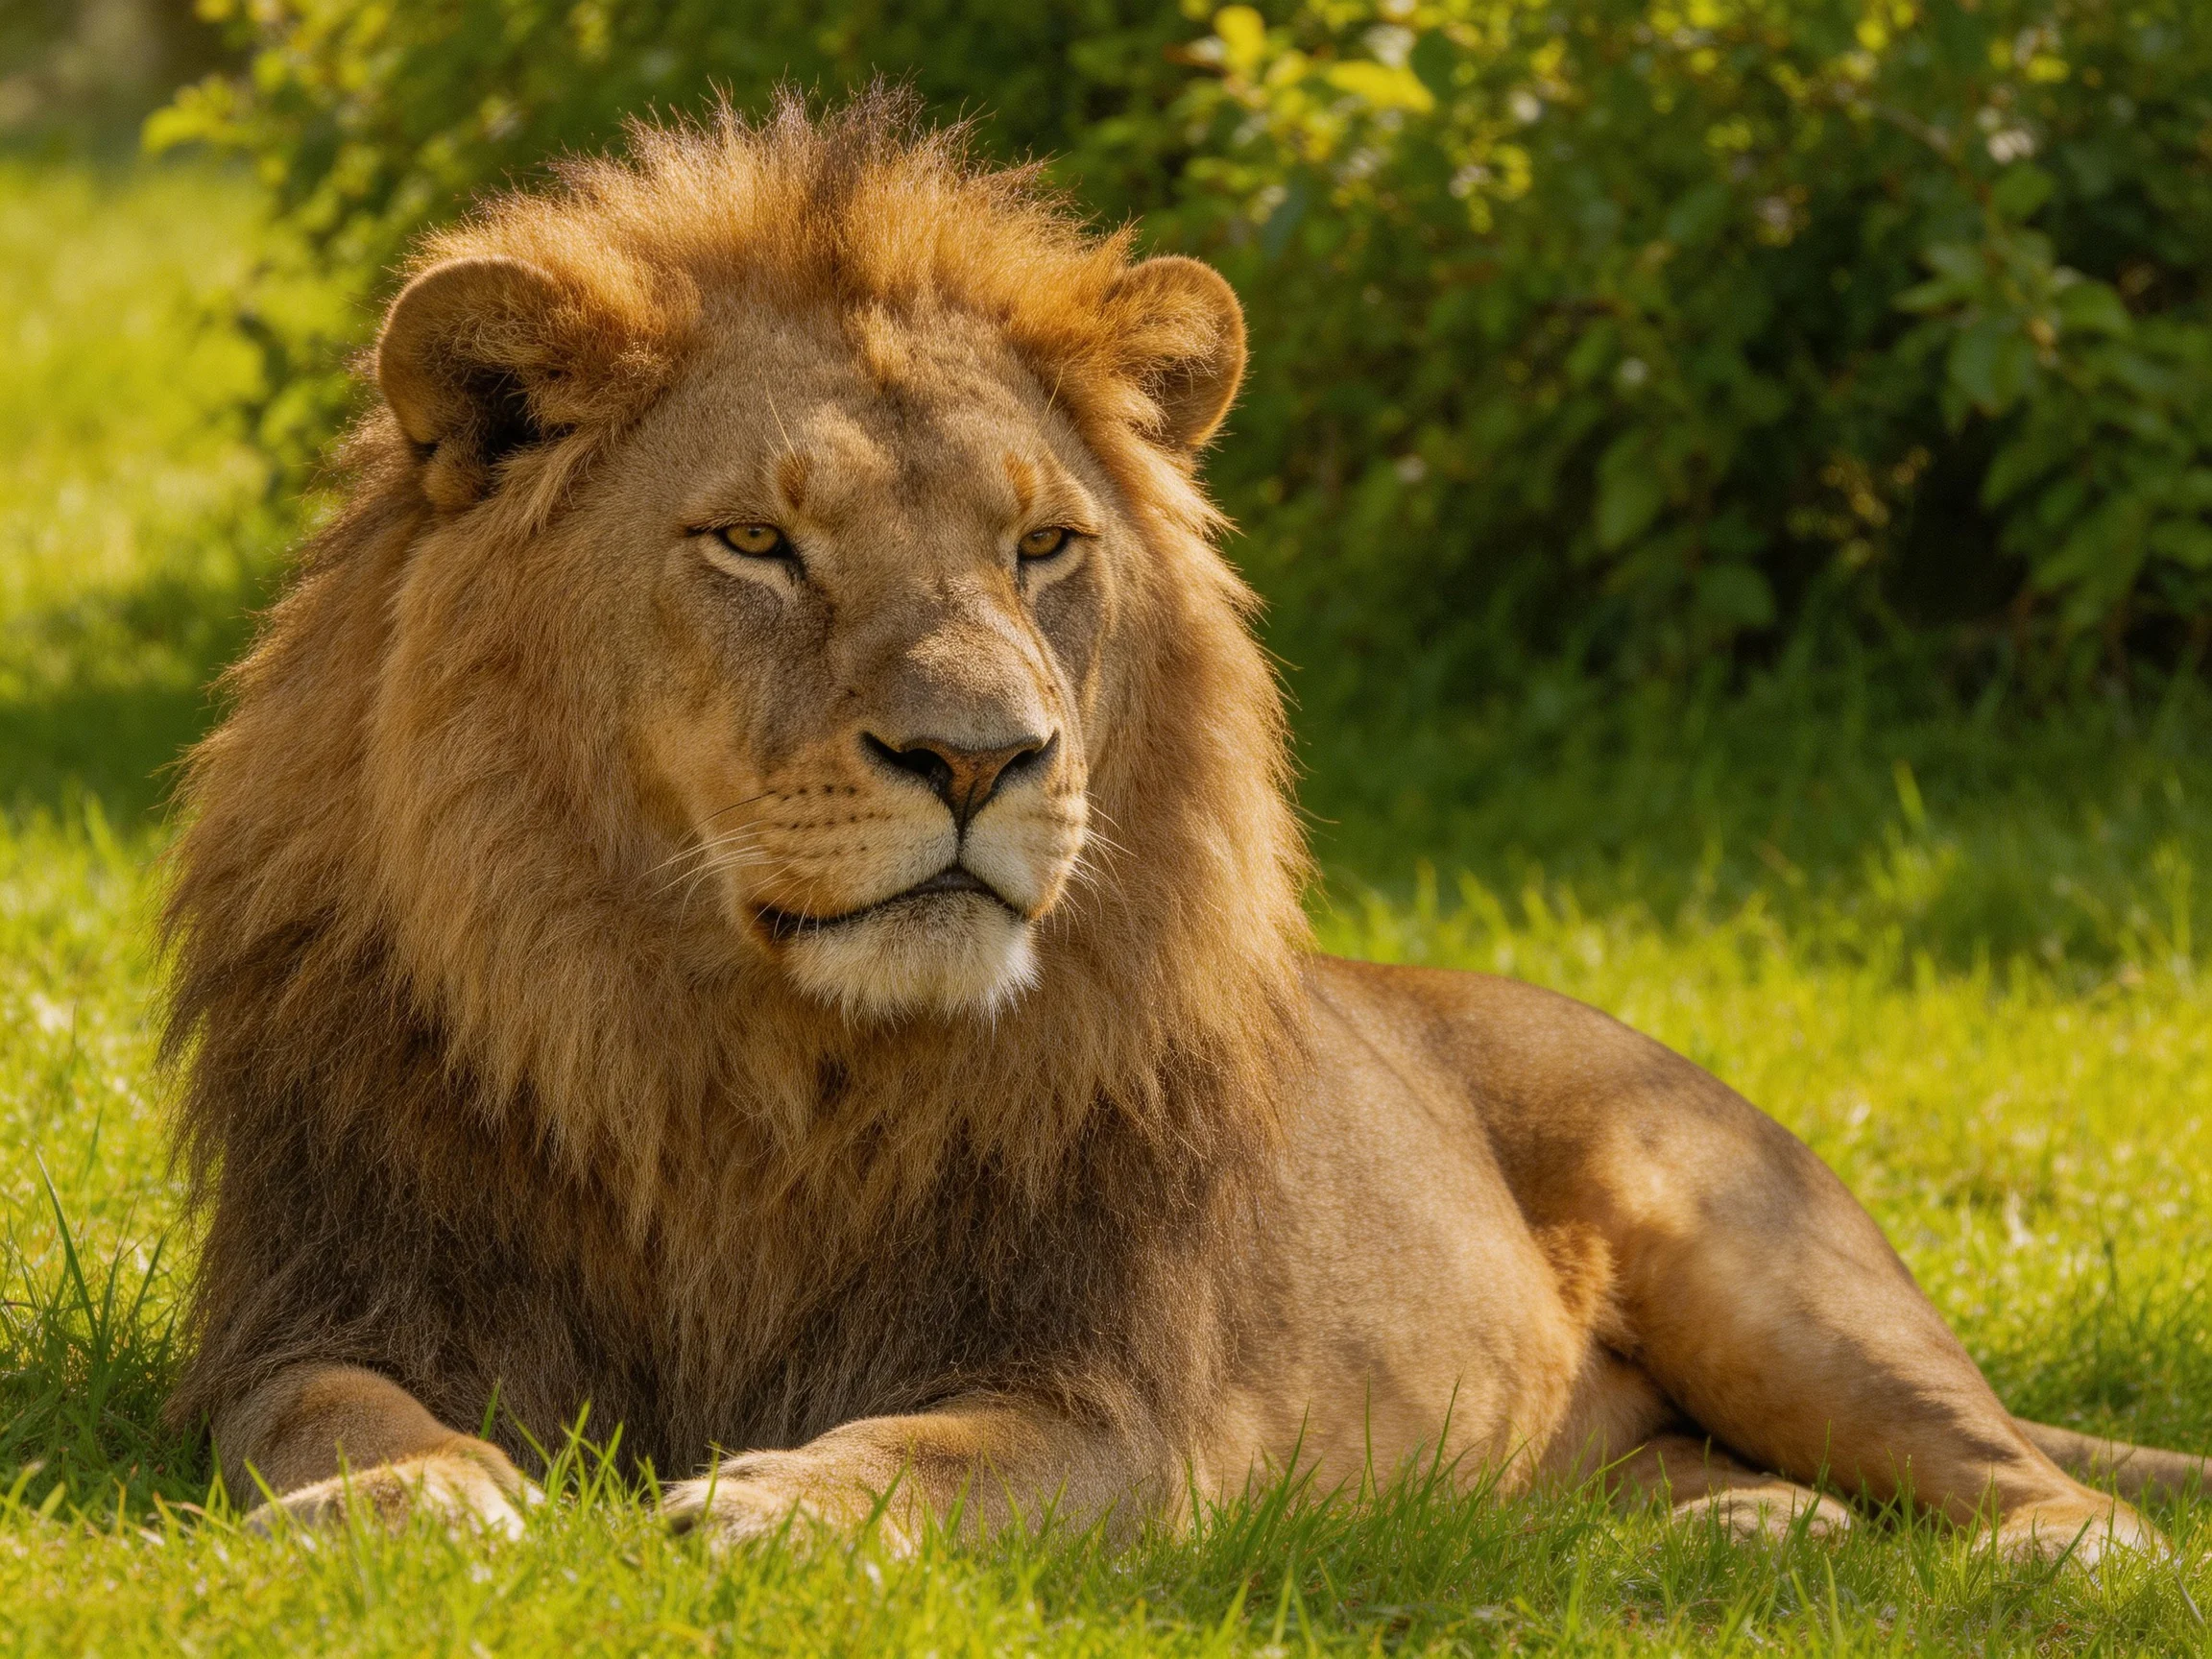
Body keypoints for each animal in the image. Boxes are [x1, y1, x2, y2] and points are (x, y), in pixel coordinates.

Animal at [164, 92, 2206, 1562]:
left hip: (1761, 1259)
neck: (734, 1075)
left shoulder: (1128, 1402)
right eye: (753, 540)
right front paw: (411, 1492)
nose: (982, 756)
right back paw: (1735, 1536)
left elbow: (947, 1448)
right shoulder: (313, 1291)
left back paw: (2036, 1560)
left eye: (1040, 545)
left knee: (2023, 1476)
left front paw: (781, 1494)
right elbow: (314, 1406)